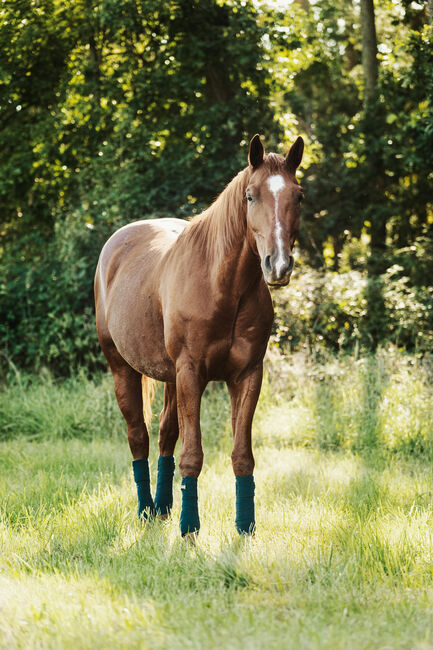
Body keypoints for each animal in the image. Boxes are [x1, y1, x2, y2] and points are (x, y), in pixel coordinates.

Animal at [94, 134, 304, 536]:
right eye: (250, 196)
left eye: (298, 196)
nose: (278, 265)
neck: (222, 286)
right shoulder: (192, 374)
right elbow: (192, 455)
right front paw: (190, 529)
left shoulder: (247, 375)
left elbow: (241, 456)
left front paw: (245, 527)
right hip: (122, 369)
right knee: (139, 436)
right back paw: (145, 509)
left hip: (170, 379)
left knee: (164, 434)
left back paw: (161, 508)